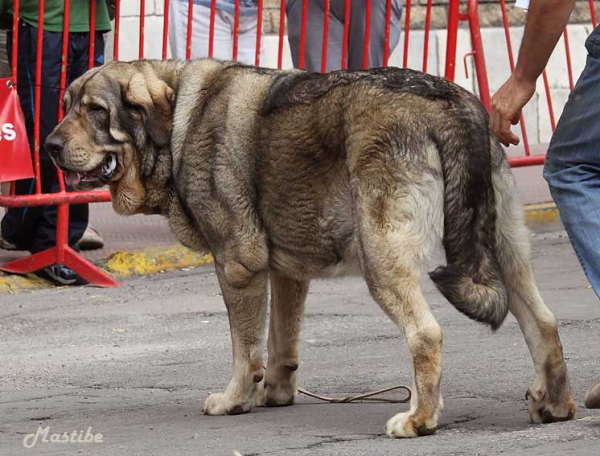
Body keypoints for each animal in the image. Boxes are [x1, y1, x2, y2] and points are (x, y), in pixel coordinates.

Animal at [44, 58, 576, 436]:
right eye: (66, 105)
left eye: (96, 111)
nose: (49, 145)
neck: (176, 121)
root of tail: (448, 102)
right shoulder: (286, 273)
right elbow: (281, 342)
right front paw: (275, 392)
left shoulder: (237, 267)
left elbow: (244, 349)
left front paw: (235, 399)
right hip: (504, 249)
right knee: (544, 322)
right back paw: (555, 403)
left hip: (382, 256)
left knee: (426, 334)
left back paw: (420, 420)